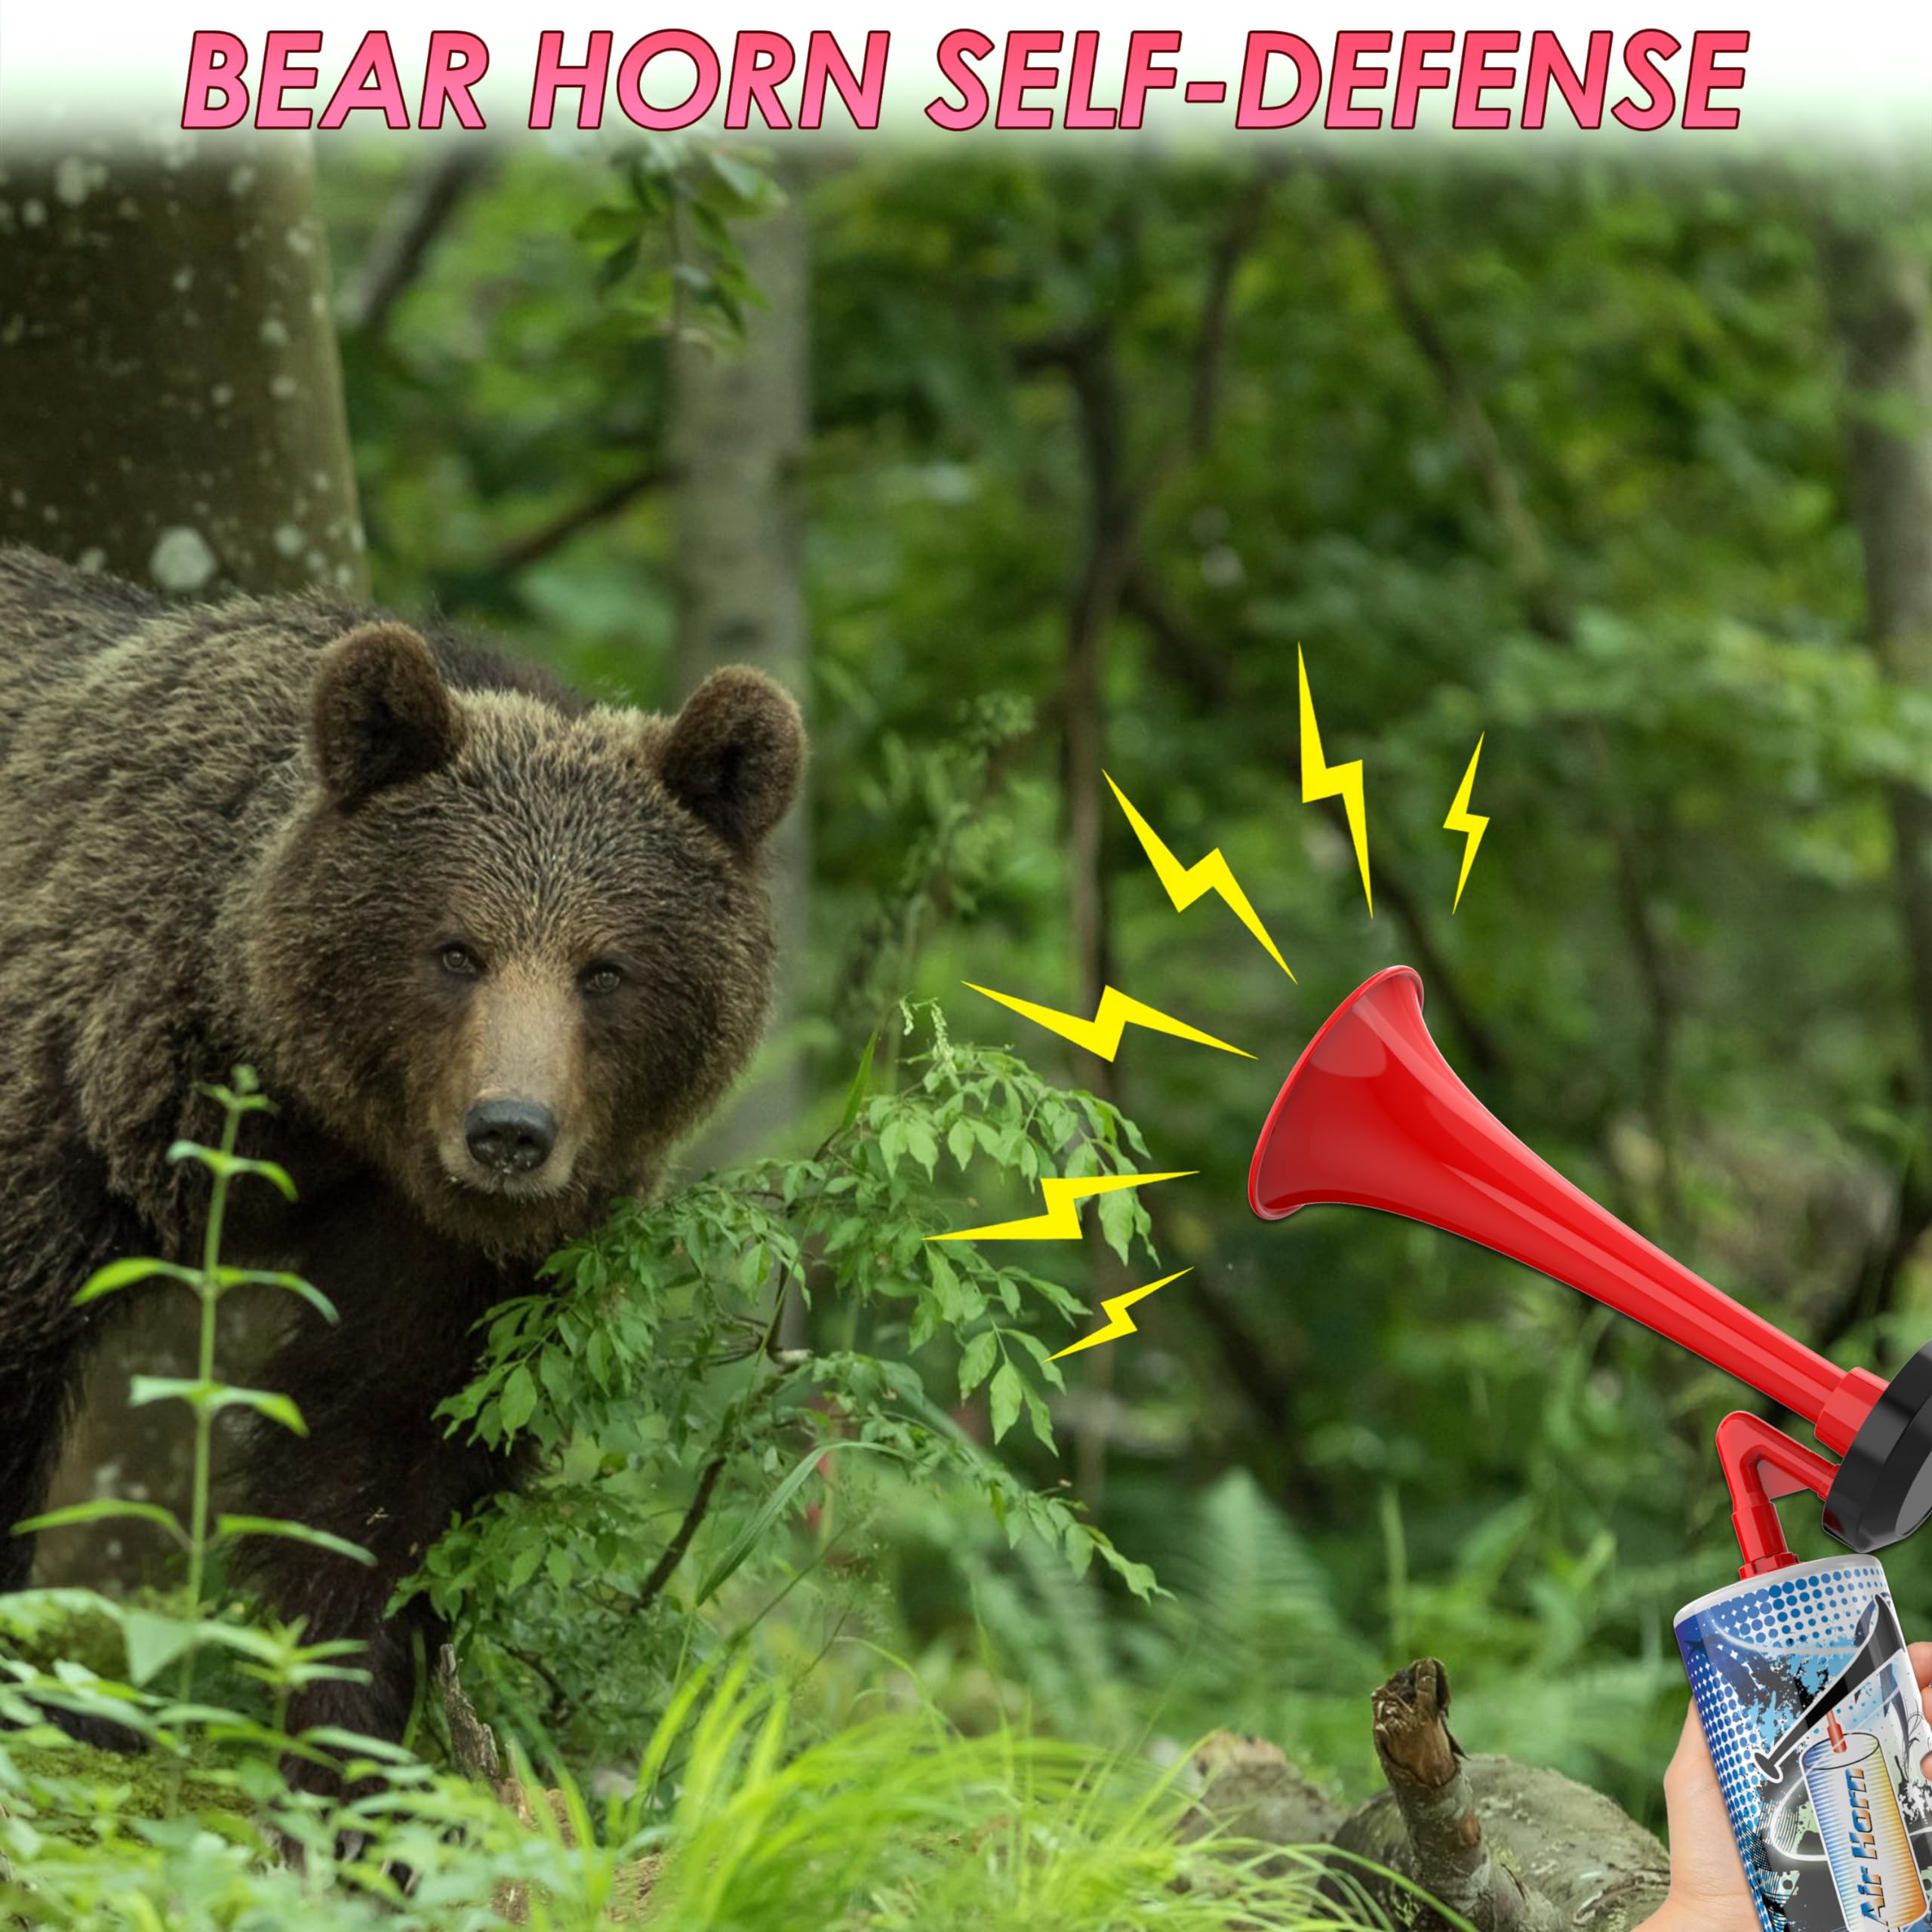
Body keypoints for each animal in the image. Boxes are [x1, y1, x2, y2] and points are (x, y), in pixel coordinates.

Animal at [0, 545, 804, 1772]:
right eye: (457, 950)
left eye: (605, 970)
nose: (510, 1132)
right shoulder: (73, 1091)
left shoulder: (451, 1254)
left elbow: (379, 1453)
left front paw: (349, 1748)